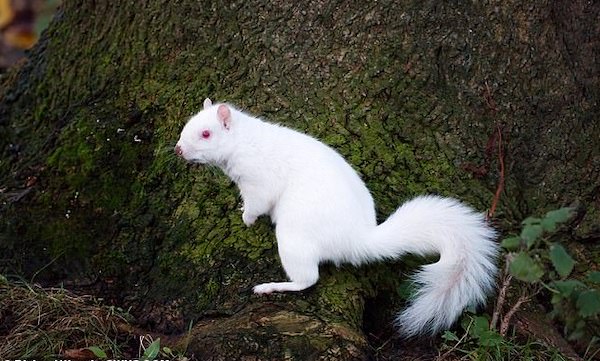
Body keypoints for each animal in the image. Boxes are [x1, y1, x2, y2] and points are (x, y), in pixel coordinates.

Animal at [176, 97, 500, 334]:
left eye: (206, 133)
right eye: (187, 124)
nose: (178, 150)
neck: (244, 141)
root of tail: (357, 241)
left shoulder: (258, 181)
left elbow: (258, 203)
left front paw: (246, 217)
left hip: (294, 237)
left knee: (308, 279)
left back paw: (271, 286)